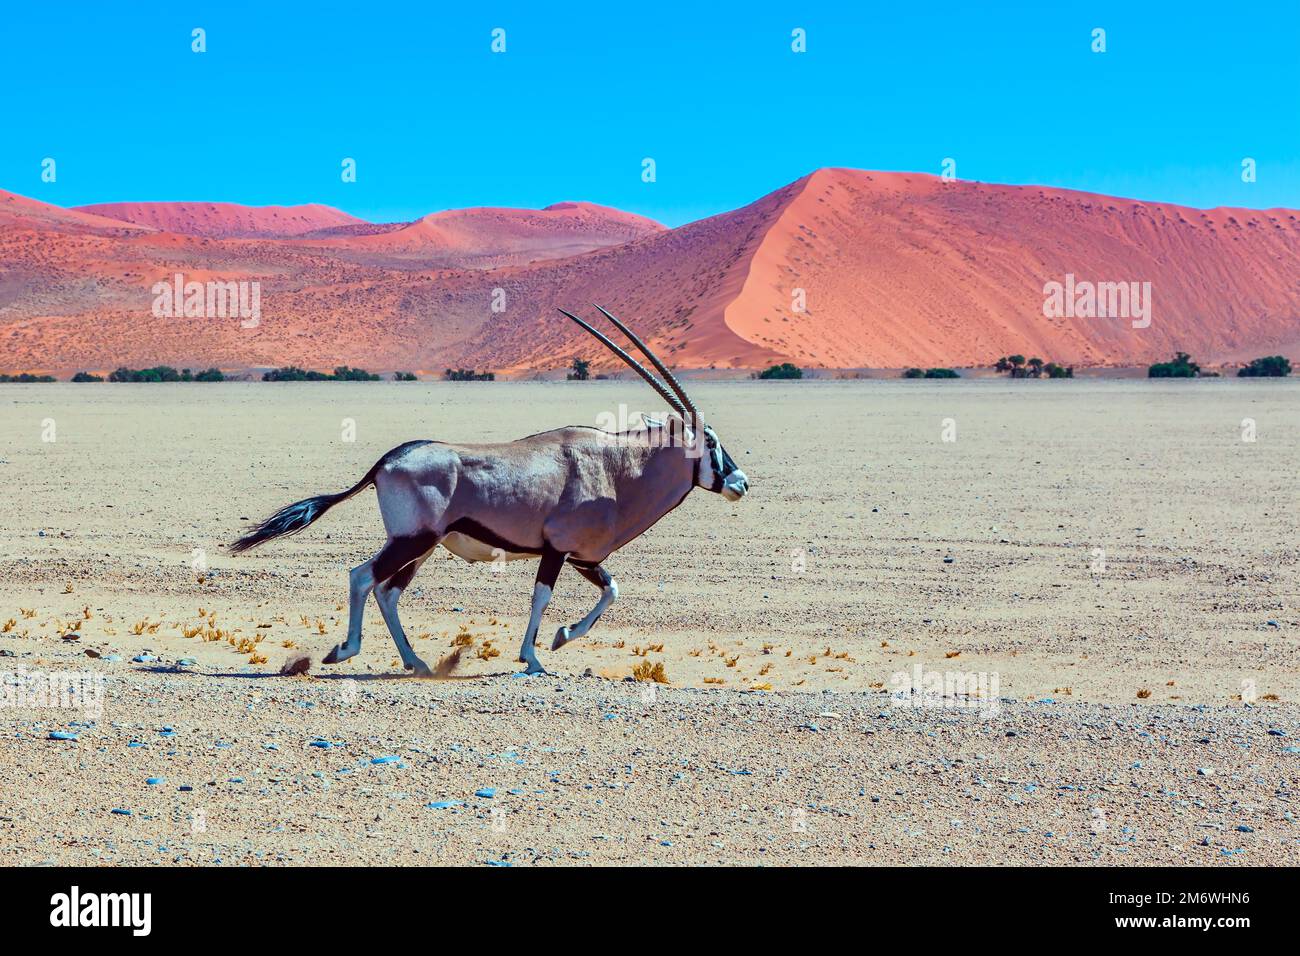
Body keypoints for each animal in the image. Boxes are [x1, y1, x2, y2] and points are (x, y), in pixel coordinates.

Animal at [228, 306, 748, 671]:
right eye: (709, 441)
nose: (740, 483)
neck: (616, 467)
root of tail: (389, 459)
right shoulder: (557, 551)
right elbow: (542, 597)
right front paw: (533, 657)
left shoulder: (584, 558)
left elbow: (612, 591)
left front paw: (560, 637)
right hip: (413, 539)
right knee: (363, 577)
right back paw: (346, 651)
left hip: (423, 547)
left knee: (388, 592)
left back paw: (415, 662)